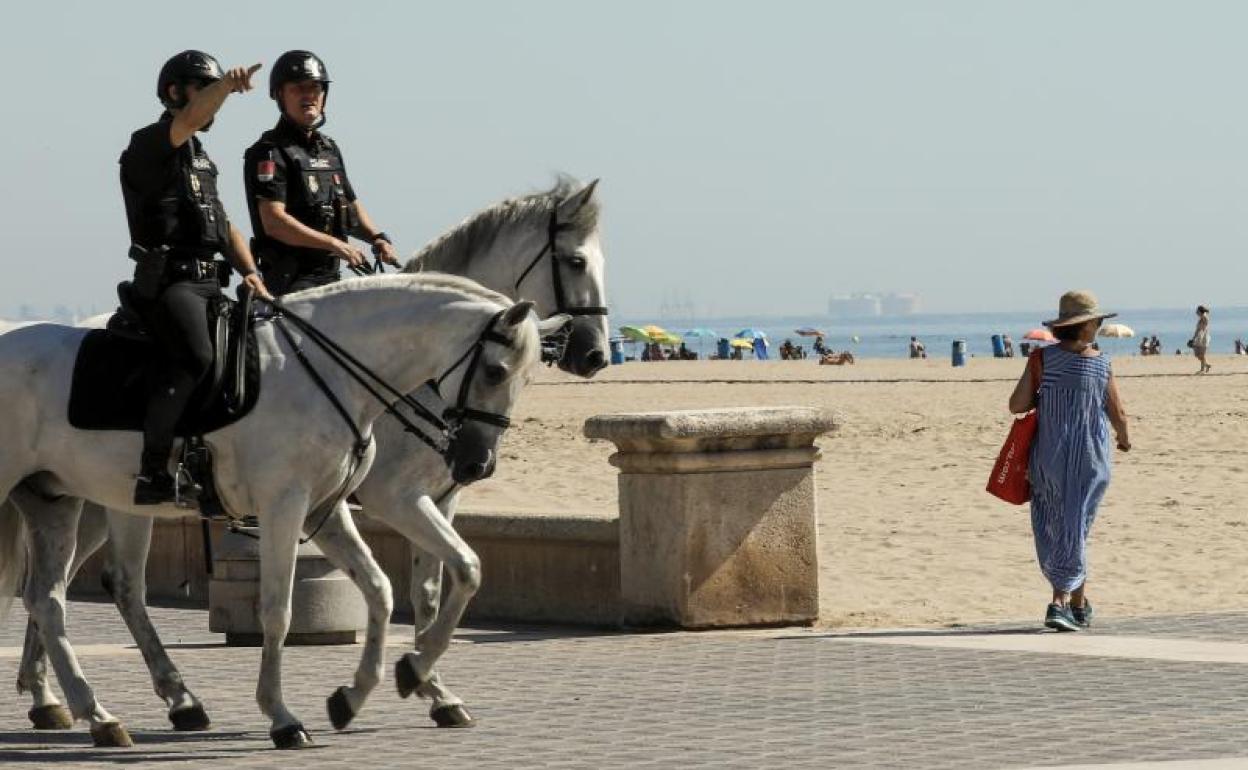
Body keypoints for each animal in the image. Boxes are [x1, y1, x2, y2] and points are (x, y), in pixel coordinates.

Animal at [12, 178, 606, 733]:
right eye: (576, 261)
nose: (596, 353)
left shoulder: (435, 498)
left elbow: (440, 584)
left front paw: (426, 684)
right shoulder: (395, 498)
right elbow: (442, 577)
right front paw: (414, 677)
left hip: (99, 500)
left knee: (73, 586)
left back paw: (99, 698)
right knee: (71, 587)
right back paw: (79, 698)